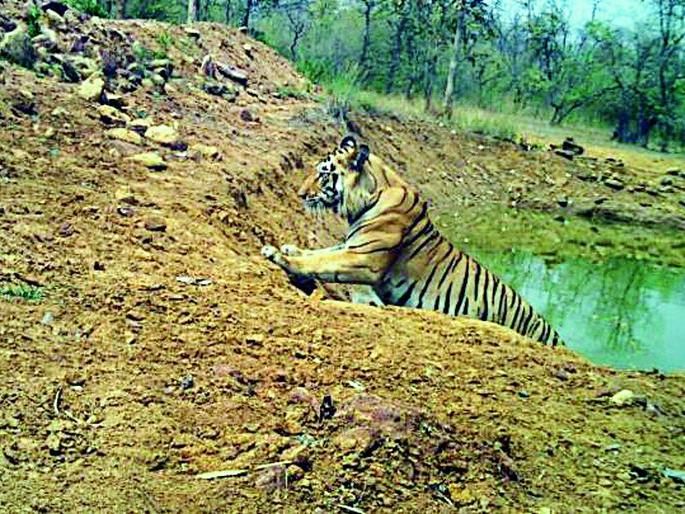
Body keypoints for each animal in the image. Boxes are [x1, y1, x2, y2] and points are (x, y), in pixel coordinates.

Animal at [262, 134, 563, 346]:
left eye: (323, 174)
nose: (300, 194)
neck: (369, 196)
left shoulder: (363, 257)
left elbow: (323, 260)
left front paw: (278, 255)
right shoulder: (352, 245)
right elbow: (320, 252)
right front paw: (291, 248)